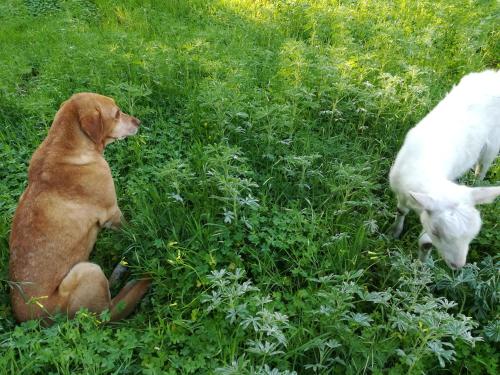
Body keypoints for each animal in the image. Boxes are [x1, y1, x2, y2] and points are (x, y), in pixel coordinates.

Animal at [9, 93, 150, 324]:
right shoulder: (112, 212)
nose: (138, 122)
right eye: (117, 113)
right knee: (111, 308)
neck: (62, 148)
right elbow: (133, 231)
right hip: (87, 271)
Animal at [390, 70, 500, 270]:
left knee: (483, 167)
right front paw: (393, 232)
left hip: (493, 144)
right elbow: (401, 211)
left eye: (472, 236)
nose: (458, 265)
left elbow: (424, 243)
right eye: (437, 232)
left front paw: (421, 266)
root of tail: (494, 75)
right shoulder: (401, 190)